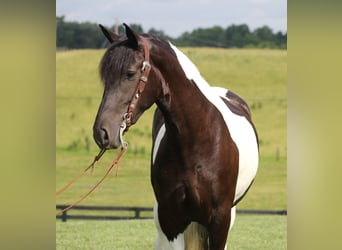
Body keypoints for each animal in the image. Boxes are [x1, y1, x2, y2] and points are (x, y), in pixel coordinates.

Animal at [92, 23, 258, 250]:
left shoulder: (220, 220)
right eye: (105, 77)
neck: (197, 141)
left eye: (130, 73)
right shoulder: (171, 219)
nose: (102, 131)